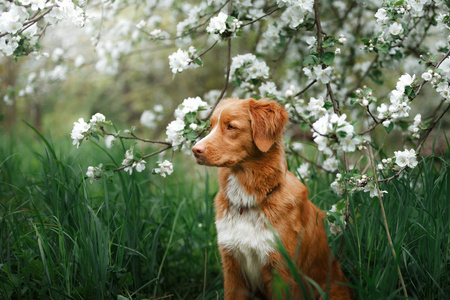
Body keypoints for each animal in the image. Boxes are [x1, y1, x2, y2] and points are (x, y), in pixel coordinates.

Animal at [192, 98, 354, 298]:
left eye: (230, 126)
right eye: (210, 126)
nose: (195, 150)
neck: (248, 202)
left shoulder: (280, 270)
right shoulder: (232, 270)